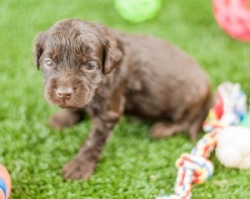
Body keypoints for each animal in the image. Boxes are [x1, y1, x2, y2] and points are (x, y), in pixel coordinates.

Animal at [32, 19, 211, 180]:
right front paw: (64, 118)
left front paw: (79, 166)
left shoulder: (109, 110)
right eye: (48, 62)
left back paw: (164, 128)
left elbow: (93, 141)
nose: (63, 93)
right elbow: (77, 106)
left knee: (185, 121)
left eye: (90, 66)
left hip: (188, 100)